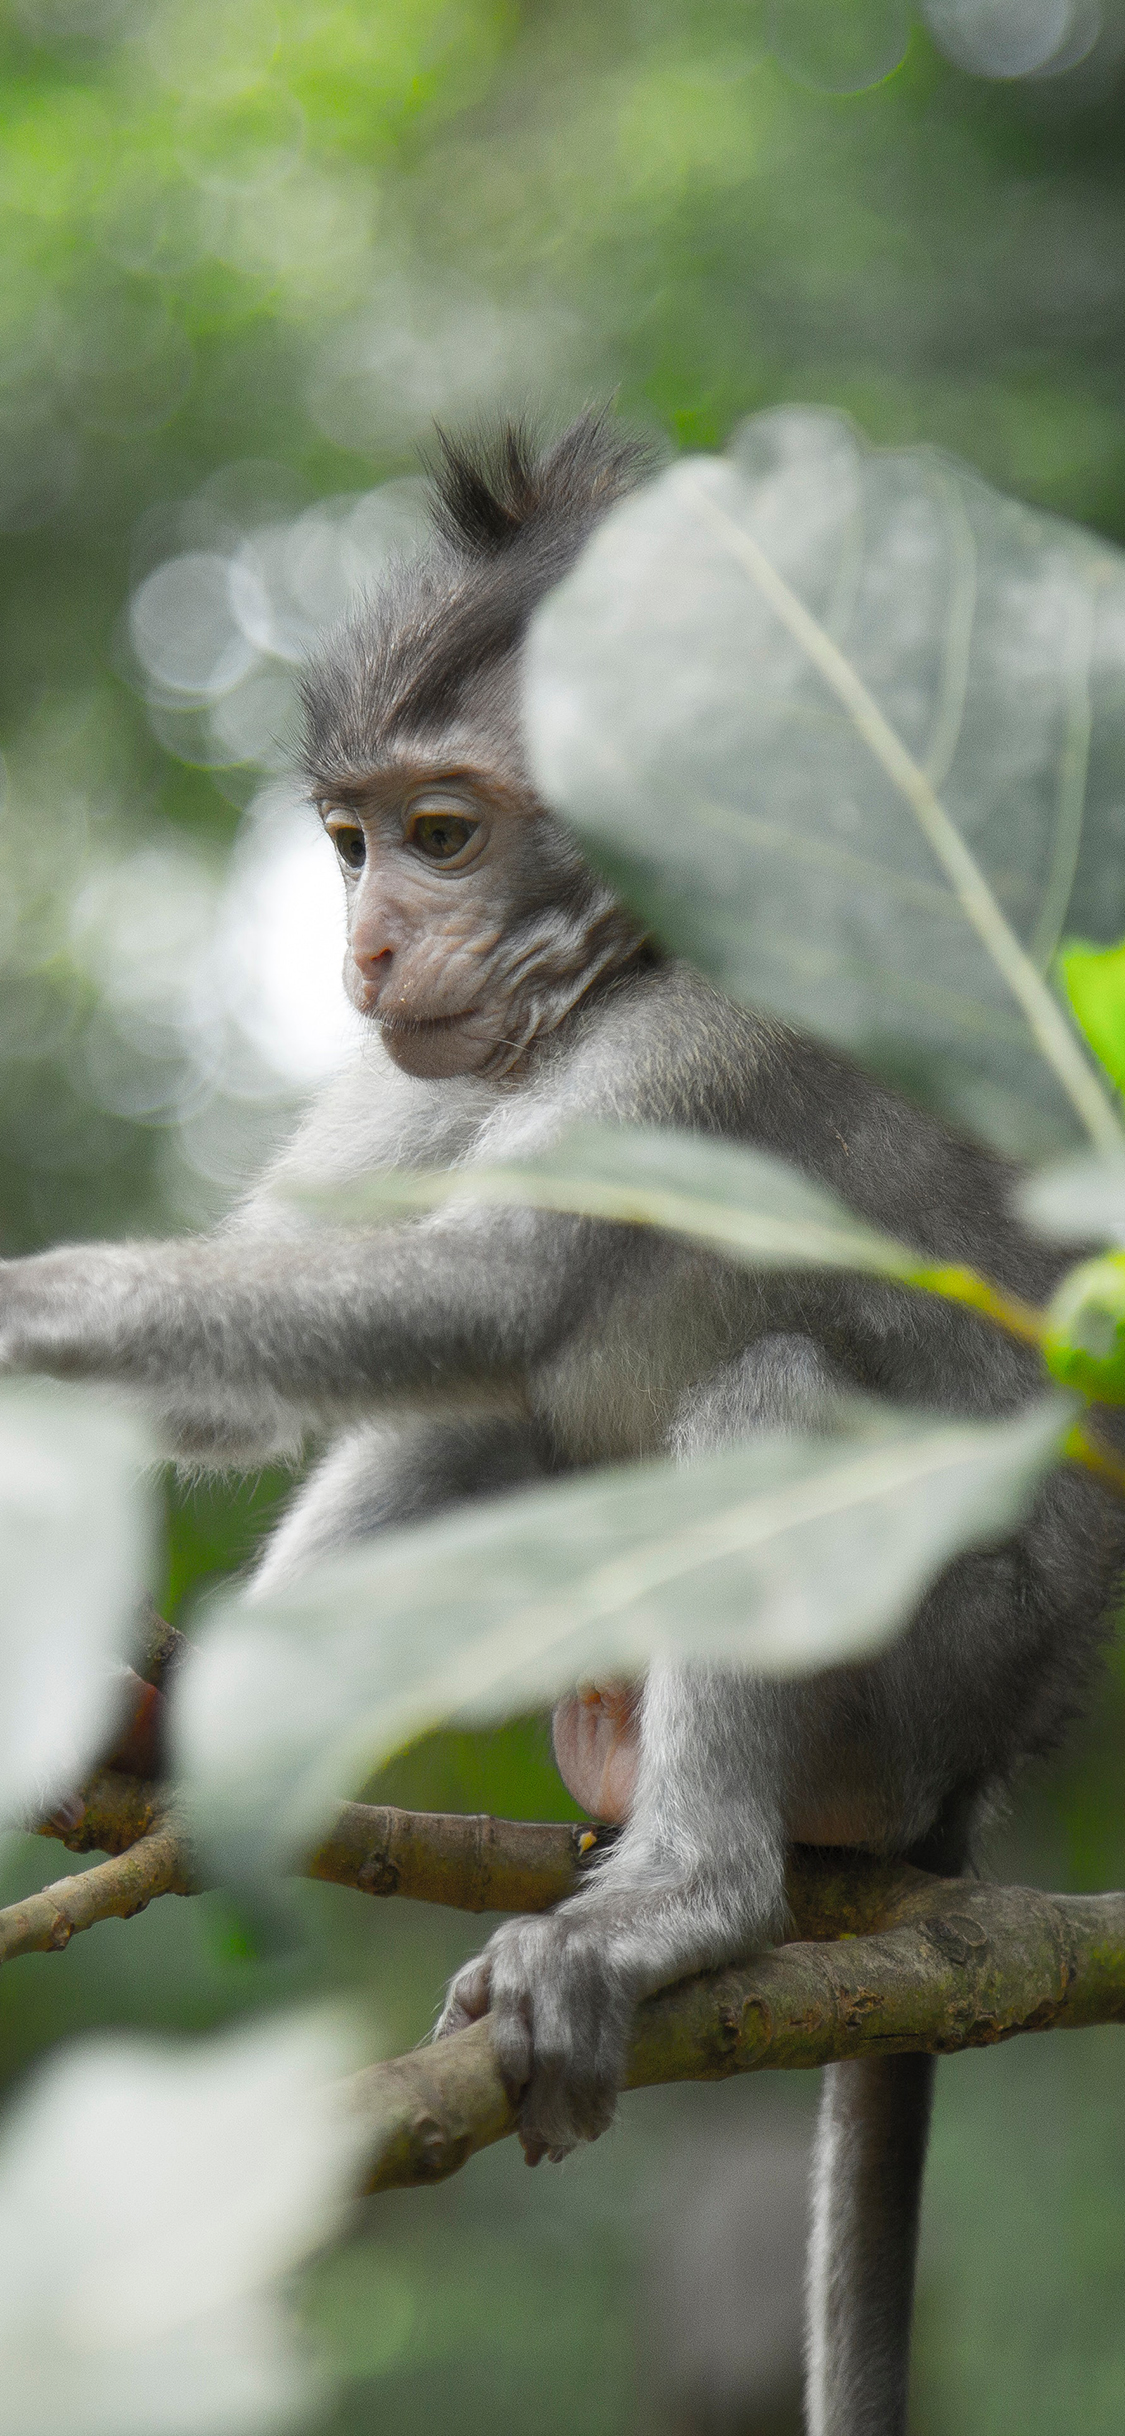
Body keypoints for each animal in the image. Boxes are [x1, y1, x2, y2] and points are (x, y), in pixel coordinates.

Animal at [4, 418, 1120, 2436]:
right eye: (354, 840)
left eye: (446, 834)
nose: (366, 950)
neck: (616, 972)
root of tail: (977, 1791)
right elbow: (368, 1318)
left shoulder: (710, 1034)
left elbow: (490, 1292)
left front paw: (18, 1311)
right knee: (494, 1435)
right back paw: (198, 1727)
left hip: (939, 1677)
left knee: (757, 1400)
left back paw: (684, 1899)